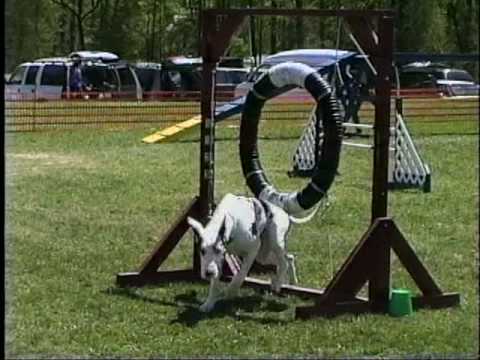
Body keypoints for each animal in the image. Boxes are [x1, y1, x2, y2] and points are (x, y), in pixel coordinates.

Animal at [188, 194, 318, 312]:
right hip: (264, 255)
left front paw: (231, 291)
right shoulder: (220, 261)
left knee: (283, 263)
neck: (231, 220)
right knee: (289, 258)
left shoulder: (252, 251)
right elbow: (215, 283)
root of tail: (286, 214)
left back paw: (278, 283)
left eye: (218, 250)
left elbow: (240, 275)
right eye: (202, 251)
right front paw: (209, 303)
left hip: (275, 242)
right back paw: (289, 280)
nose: (208, 273)